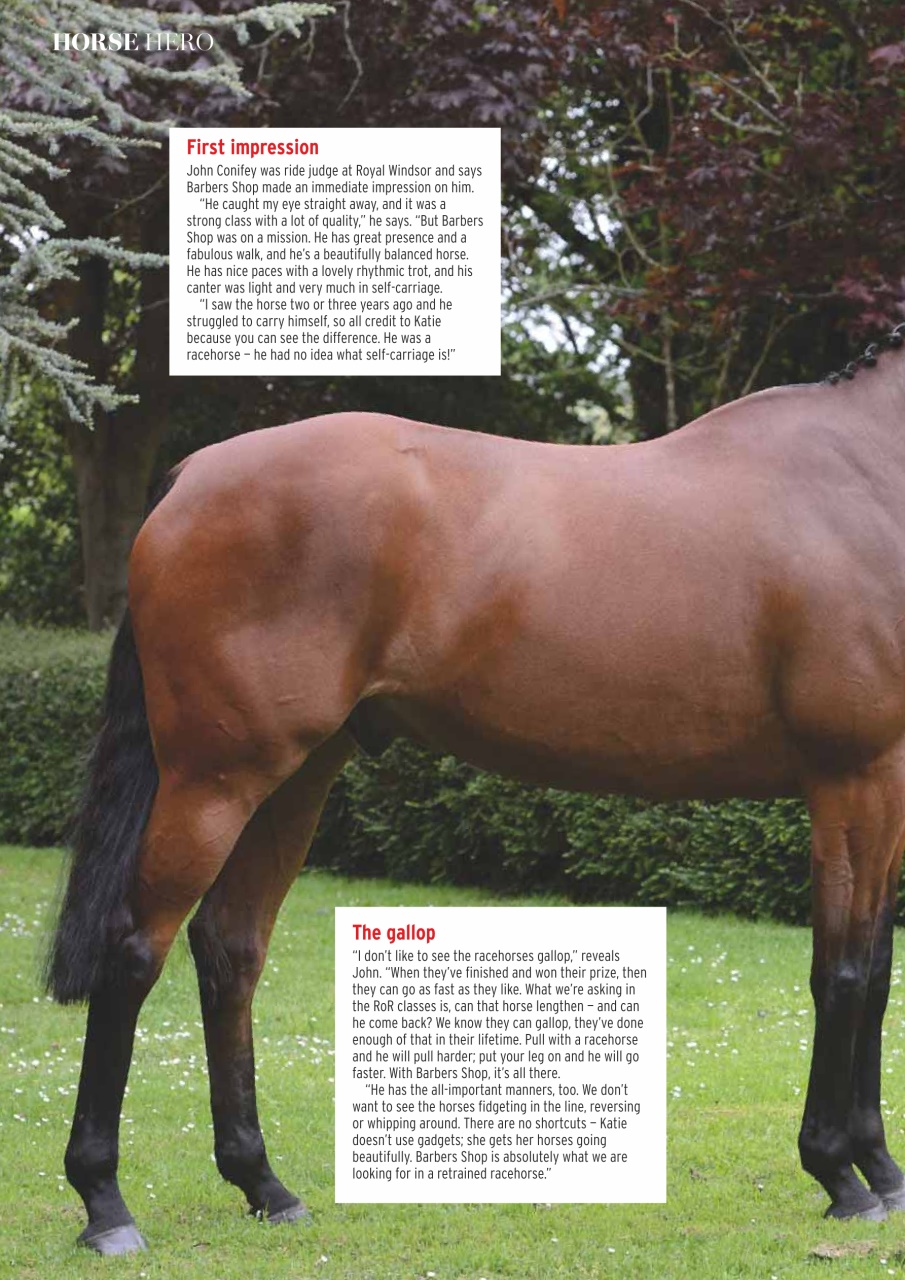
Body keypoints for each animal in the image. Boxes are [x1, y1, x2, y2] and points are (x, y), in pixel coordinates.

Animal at [47, 325, 905, 1253]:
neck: (868, 474)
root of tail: (192, 476)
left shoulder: (888, 784)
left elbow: (876, 970)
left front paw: (881, 1170)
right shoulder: (851, 777)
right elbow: (841, 971)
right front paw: (836, 1171)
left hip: (292, 781)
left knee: (230, 948)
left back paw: (263, 1183)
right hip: (215, 780)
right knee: (135, 950)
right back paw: (105, 1202)